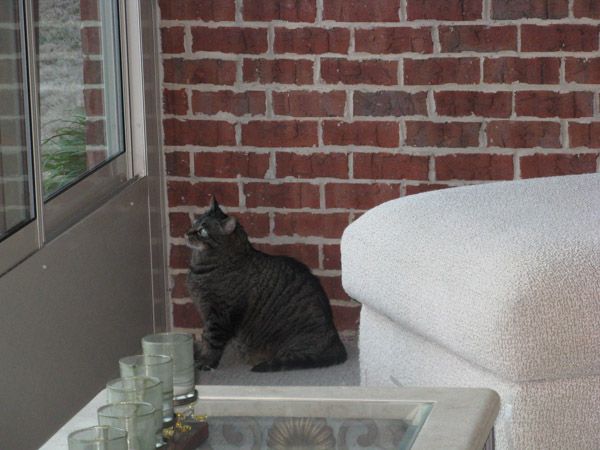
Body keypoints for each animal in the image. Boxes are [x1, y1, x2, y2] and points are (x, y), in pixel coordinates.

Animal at [186, 198, 346, 372]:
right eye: (193, 223)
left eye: (203, 231)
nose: (187, 233)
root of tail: (336, 341)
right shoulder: (208, 313)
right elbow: (205, 337)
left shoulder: (219, 315)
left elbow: (211, 342)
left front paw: (205, 362)